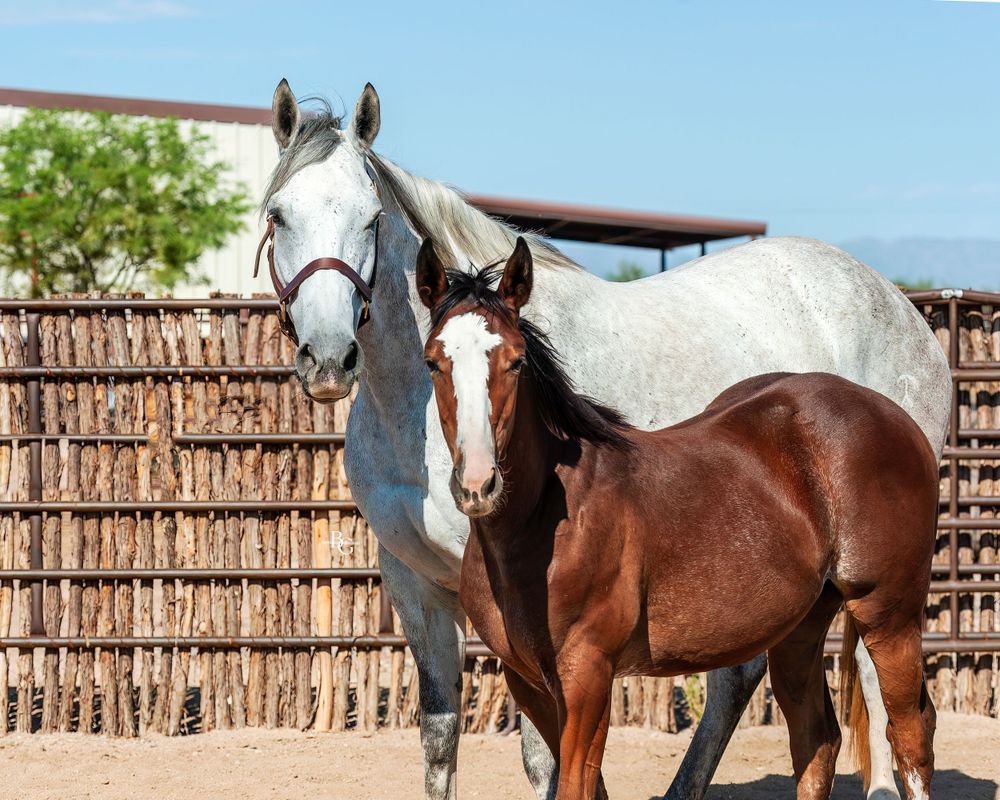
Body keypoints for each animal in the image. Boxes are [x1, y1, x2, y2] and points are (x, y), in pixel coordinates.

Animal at [416, 236, 939, 800]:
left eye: (515, 361)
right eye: (433, 363)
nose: (478, 484)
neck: (546, 525)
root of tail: (898, 417)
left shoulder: (587, 674)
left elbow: (577, 783)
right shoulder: (528, 680)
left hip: (888, 616)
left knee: (911, 737)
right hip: (801, 630)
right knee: (817, 741)